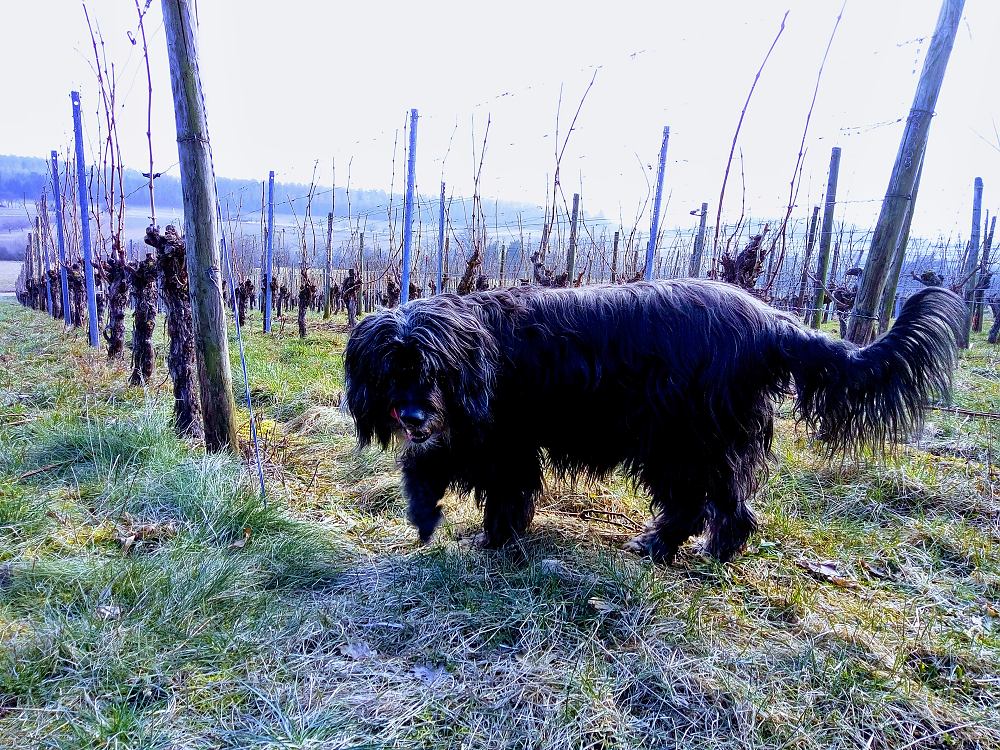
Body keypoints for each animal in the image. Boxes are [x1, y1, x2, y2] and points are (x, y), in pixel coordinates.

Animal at [342, 282, 960, 564]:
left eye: (432, 370)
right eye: (391, 371)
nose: (414, 414)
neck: (481, 348)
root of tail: (768, 320)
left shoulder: (503, 437)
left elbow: (502, 490)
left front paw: (493, 540)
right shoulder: (468, 431)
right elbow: (426, 468)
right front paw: (426, 516)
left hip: (681, 437)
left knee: (699, 502)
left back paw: (676, 546)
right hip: (700, 440)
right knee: (724, 500)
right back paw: (705, 545)